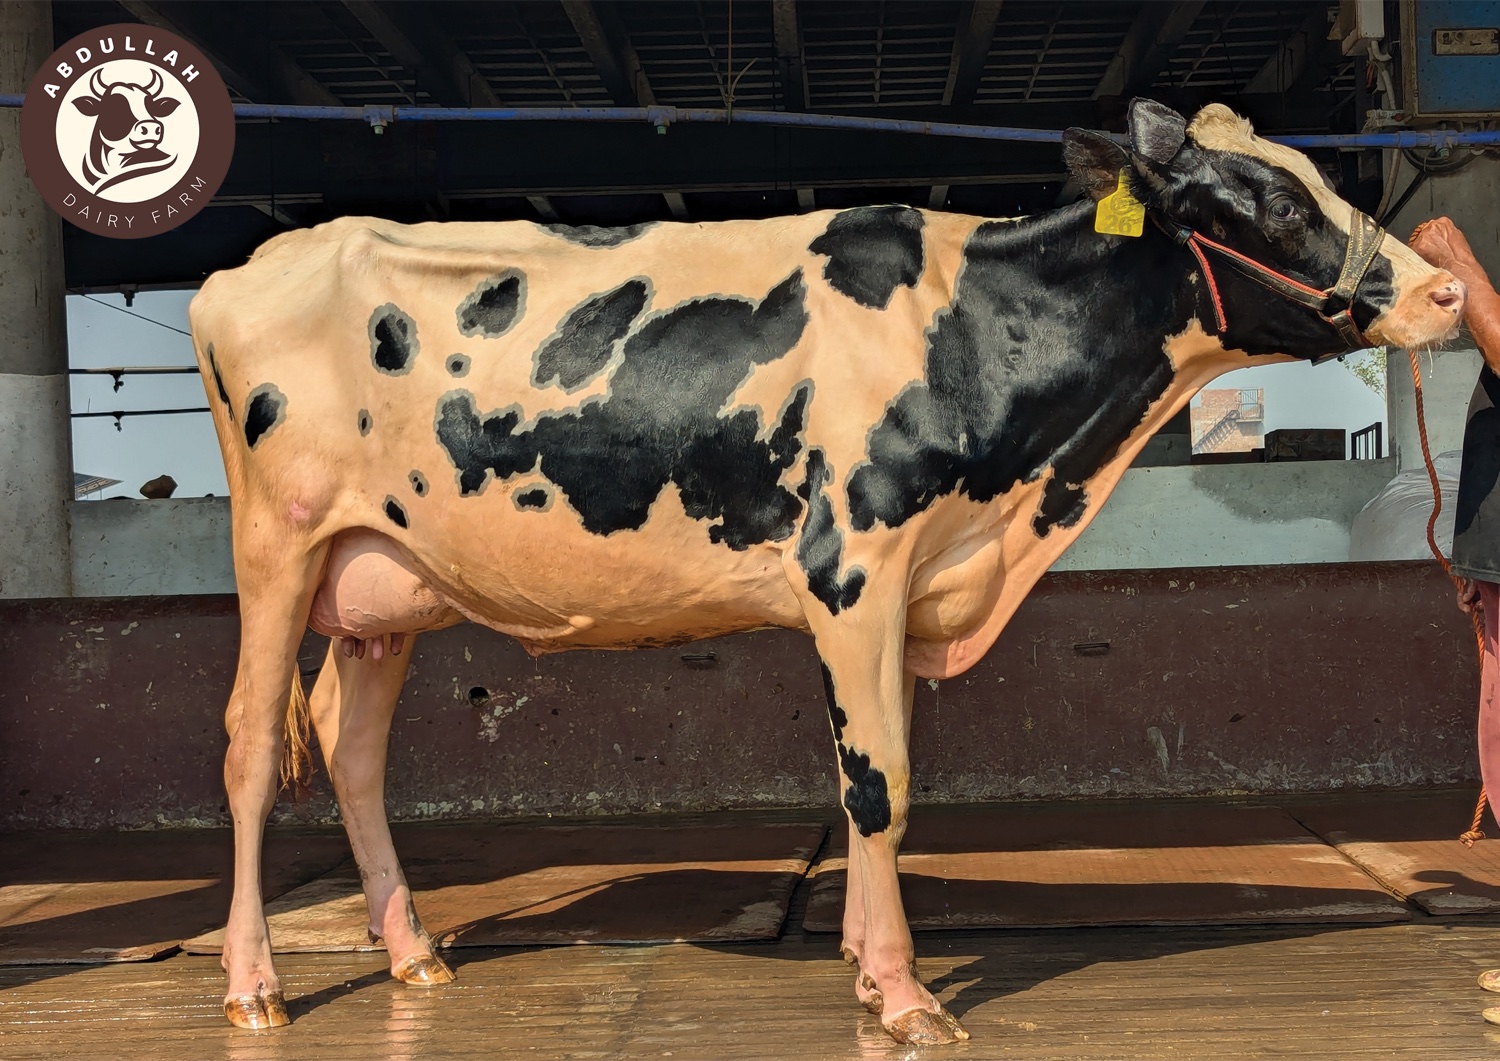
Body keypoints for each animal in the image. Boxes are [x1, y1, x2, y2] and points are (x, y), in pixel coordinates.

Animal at [189, 101, 1464, 1045]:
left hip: (381, 582)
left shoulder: (906, 583)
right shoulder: (853, 562)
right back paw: (254, 984)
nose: (1448, 290)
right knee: (249, 743)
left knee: (351, 749)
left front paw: (860, 959)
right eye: (1280, 200)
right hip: (277, 544)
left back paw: (412, 954)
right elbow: (878, 777)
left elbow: (877, 770)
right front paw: (903, 994)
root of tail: (246, 269)